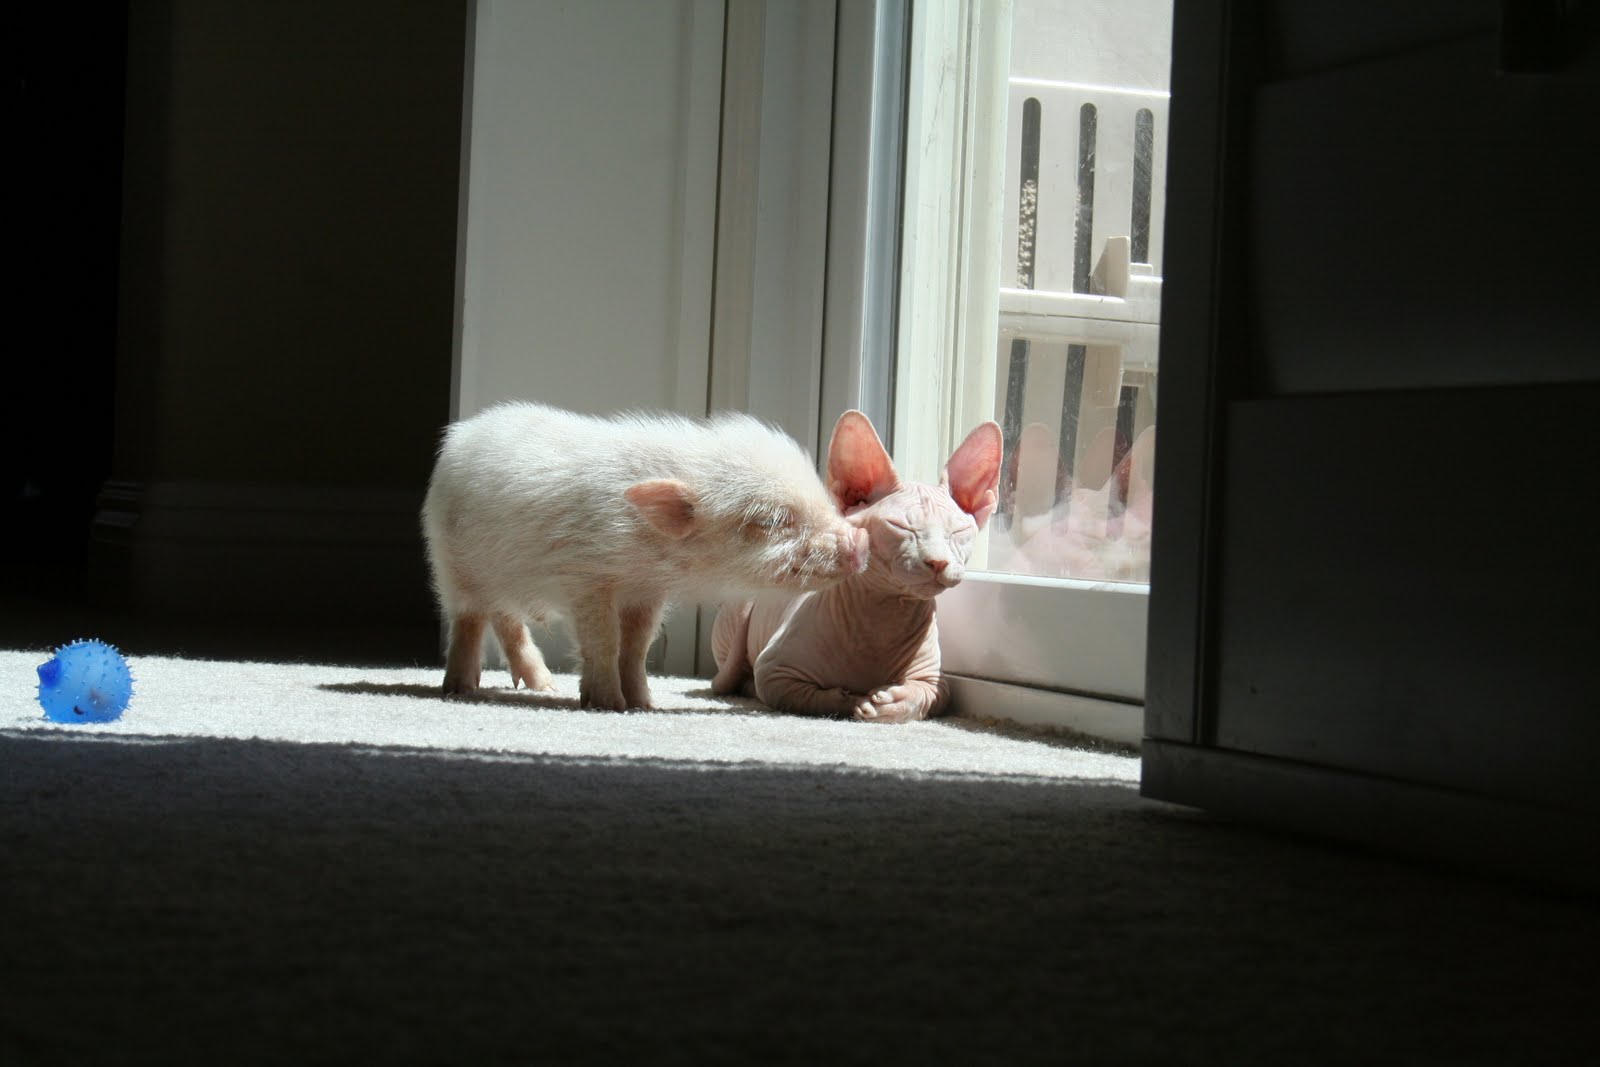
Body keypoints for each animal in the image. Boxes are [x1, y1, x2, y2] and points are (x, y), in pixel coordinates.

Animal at [421, 401, 870, 710]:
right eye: (773, 520)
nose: (860, 541)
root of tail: (462, 435)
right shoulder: (588, 579)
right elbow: (603, 640)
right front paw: (608, 705)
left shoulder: (647, 591)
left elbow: (636, 646)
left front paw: (643, 704)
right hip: (451, 560)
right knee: (470, 618)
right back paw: (459, 690)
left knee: (505, 619)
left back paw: (543, 686)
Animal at [710, 411, 1003, 723]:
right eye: (900, 527)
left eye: (958, 532)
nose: (938, 561)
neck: (886, 617)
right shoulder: (773, 671)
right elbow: (811, 698)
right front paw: (854, 701)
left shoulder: (936, 683)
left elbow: (925, 697)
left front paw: (892, 701)